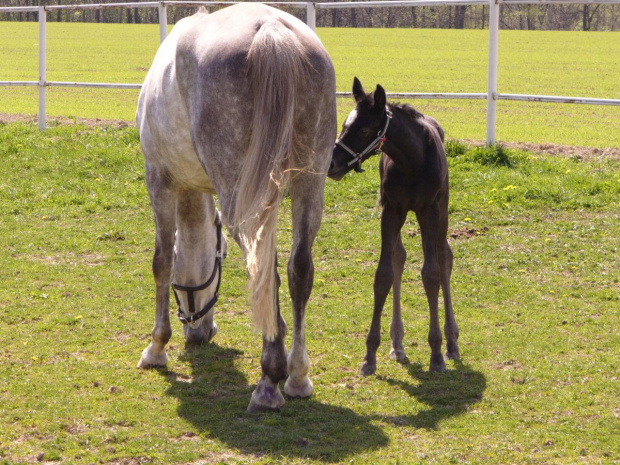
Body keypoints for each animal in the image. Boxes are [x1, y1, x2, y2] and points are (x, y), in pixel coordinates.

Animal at [137, 3, 340, 410]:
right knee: (298, 269)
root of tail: (272, 30)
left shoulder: (159, 179)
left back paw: (269, 380)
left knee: (265, 269)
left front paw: (156, 347)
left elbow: (162, 260)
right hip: (309, 184)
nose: (201, 331)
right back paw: (297, 376)